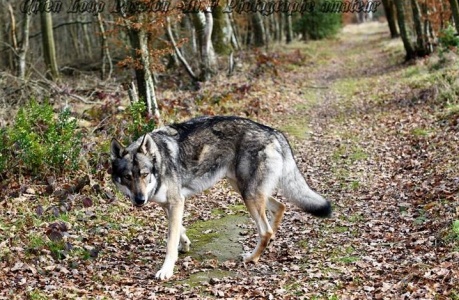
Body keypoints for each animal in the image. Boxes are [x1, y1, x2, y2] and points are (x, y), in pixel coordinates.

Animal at [112, 116, 334, 280]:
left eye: (144, 174)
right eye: (128, 177)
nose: (140, 200)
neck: (159, 161)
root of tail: (273, 132)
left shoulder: (176, 202)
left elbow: (170, 241)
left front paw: (166, 270)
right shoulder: (170, 205)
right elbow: (179, 230)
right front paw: (185, 244)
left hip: (248, 195)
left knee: (265, 230)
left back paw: (252, 258)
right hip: (244, 189)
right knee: (280, 207)